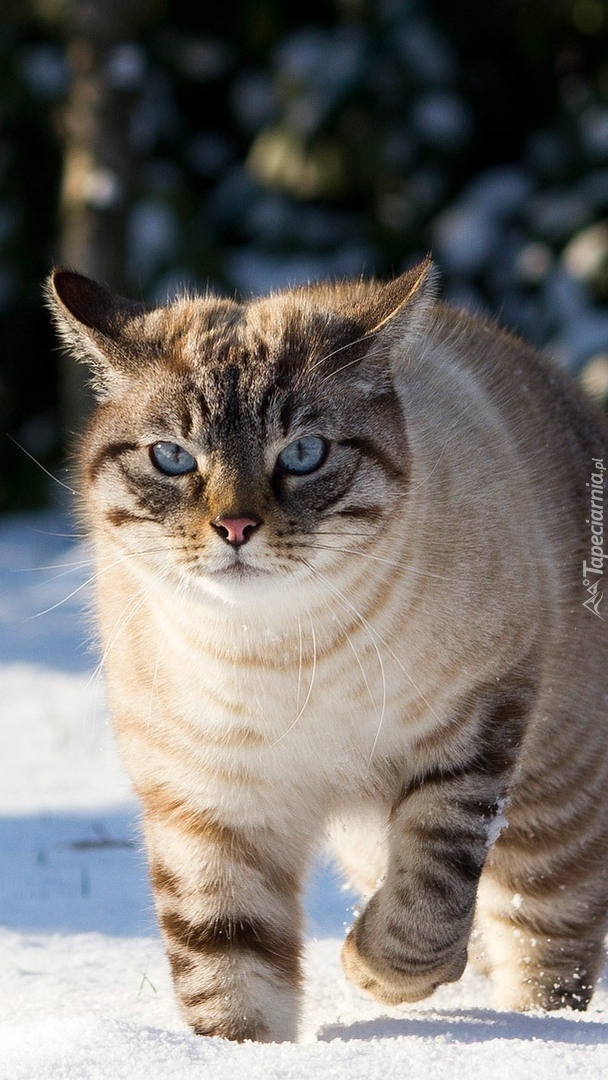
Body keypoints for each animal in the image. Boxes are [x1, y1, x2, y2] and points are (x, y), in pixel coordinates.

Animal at [47, 257, 608, 1041]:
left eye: (304, 455)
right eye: (172, 458)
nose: (235, 527)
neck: (278, 656)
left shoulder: (472, 732)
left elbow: (427, 903)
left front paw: (370, 970)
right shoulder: (210, 805)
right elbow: (228, 972)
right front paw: (243, 1056)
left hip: (548, 814)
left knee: (546, 945)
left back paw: (535, 1030)